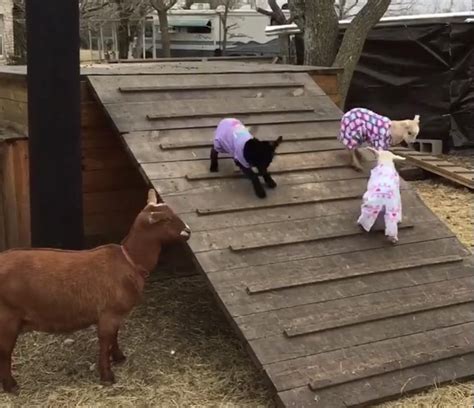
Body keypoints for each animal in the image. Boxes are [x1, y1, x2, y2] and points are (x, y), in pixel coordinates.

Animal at [0, 190, 191, 394]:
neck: (129, 260)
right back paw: (11, 386)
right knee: (5, 351)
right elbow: (105, 341)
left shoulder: (116, 315)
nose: (188, 231)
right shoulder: (108, 314)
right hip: (8, 317)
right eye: (166, 219)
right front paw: (107, 376)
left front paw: (119, 357)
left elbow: (115, 336)